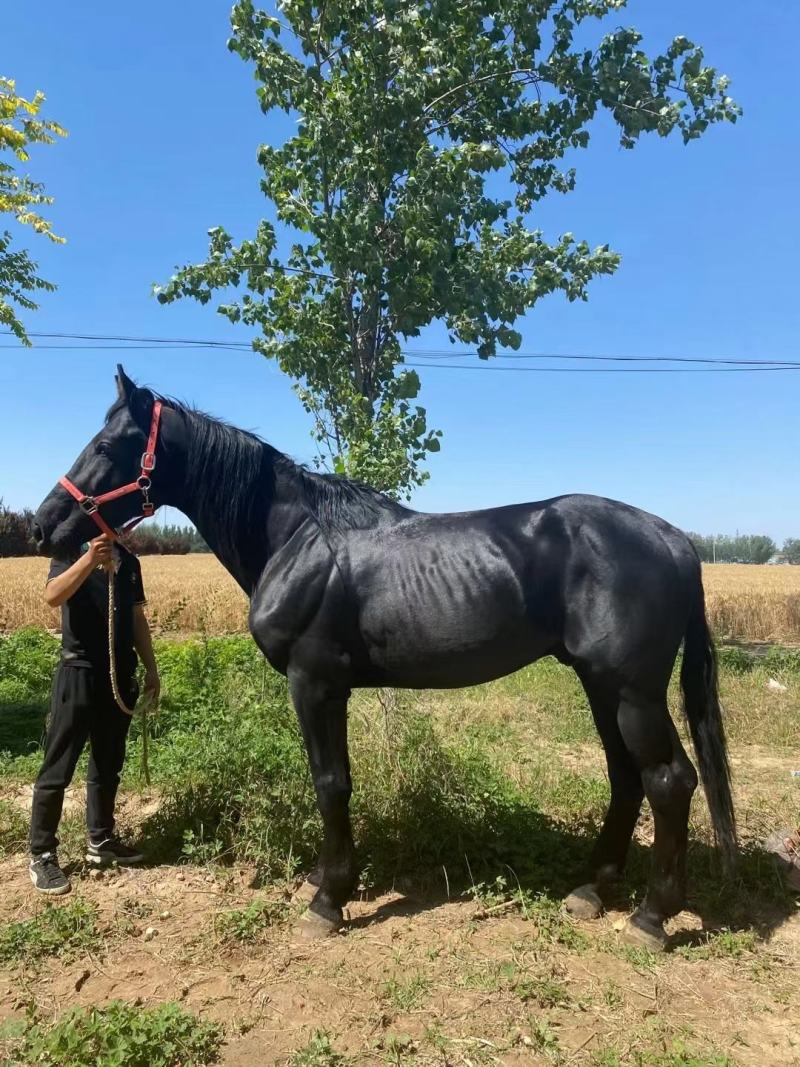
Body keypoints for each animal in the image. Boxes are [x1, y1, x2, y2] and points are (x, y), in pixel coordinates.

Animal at [32, 366, 736, 949]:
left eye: (105, 446)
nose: (44, 525)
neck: (297, 539)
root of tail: (676, 540)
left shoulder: (316, 683)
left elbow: (330, 783)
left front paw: (328, 897)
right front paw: (328, 878)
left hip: (634, 692)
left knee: (669, 781)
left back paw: (651, 917)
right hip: (601, 686)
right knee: (626, 777)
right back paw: (592, 891)